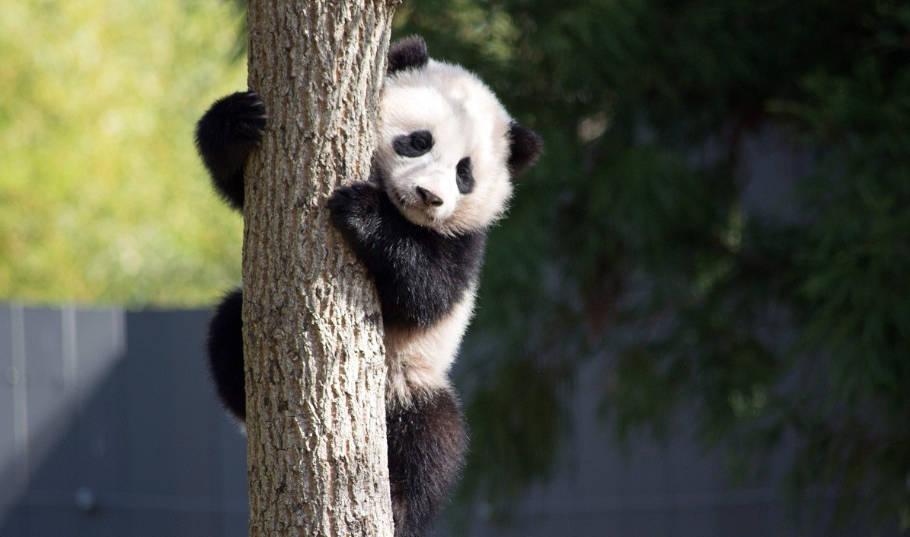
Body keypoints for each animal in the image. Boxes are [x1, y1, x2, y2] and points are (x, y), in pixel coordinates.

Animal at [194, 36, 540, 536]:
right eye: (418, 141)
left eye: (464, 174)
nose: (429, 197)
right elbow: (239, 187)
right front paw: (237, 120)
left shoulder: (465, 244)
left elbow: (426, 293)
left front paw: (363, 212)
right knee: (226, 326)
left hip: (410, 379)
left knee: (433, 439)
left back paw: (399, 503)